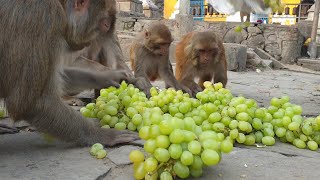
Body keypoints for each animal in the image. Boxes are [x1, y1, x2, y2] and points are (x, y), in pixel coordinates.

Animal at [0, 0, 138, 146]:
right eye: (104, 25)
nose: (89, 42)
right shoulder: (41, 20)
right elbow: (29, 103)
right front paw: (103, 135)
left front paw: (111, 77)